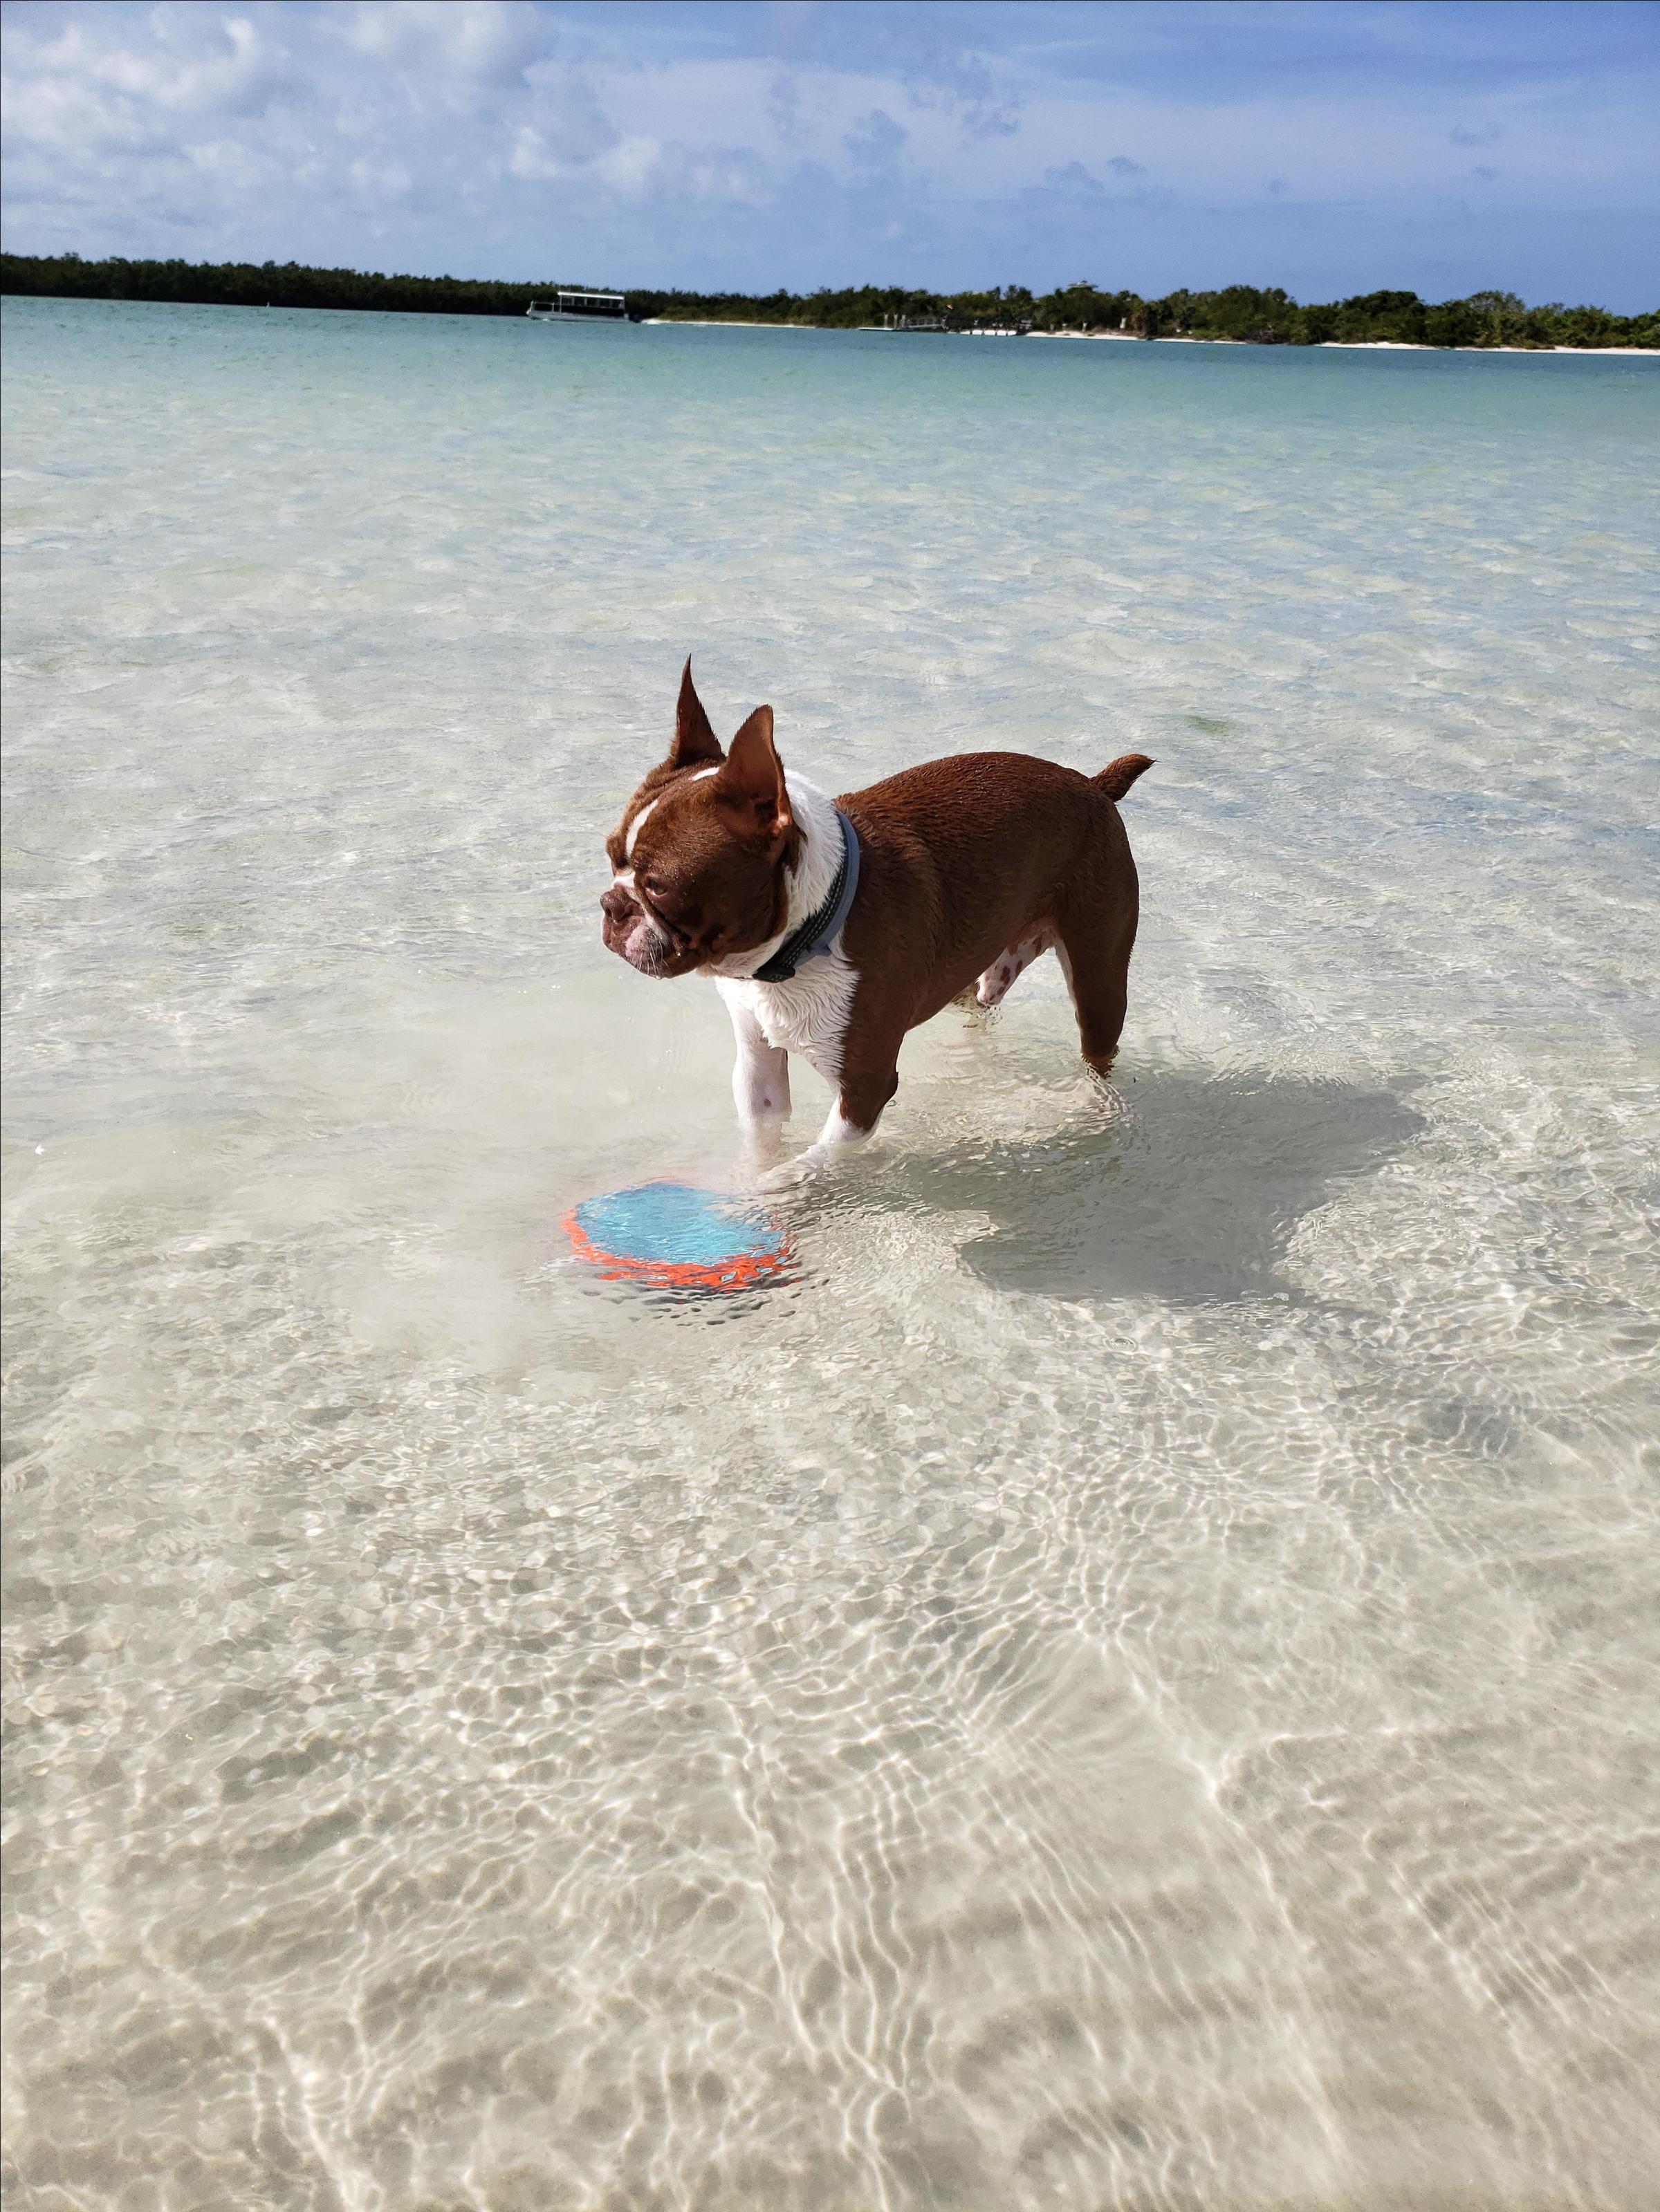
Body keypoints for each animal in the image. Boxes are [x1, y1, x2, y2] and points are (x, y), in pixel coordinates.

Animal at [601, 663, 1151, 1175]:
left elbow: (805, 1170)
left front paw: (774, 1192)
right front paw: (746, 1178)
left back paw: (1096, 1113)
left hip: (1100, 977)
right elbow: (763, 1138)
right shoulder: (758, 1065)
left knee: (1098, 1051)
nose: (611, 905)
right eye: (611, 857)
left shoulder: (863, 1092)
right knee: (980, 1000)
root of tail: (1095, 786)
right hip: (987, 961)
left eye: (660, 886)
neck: (804, 940)